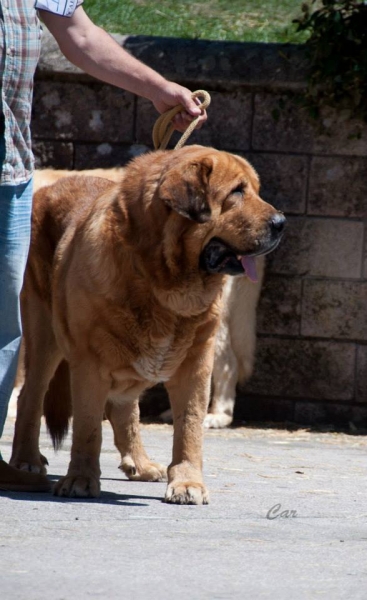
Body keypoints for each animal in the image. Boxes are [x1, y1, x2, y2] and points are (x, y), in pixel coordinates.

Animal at [10, 144, 286, 502]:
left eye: (256, 190)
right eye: (237, 192)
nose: (282, 222)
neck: (164, 283)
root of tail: (45, 191)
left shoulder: (196, 364)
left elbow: (188, 428)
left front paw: (187, 482)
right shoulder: (89, 364)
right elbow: (87, 428)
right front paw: (81, 479)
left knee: (126, 407)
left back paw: (140, 463)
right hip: (45, 338)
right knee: (31, 397)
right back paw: (26, 459)